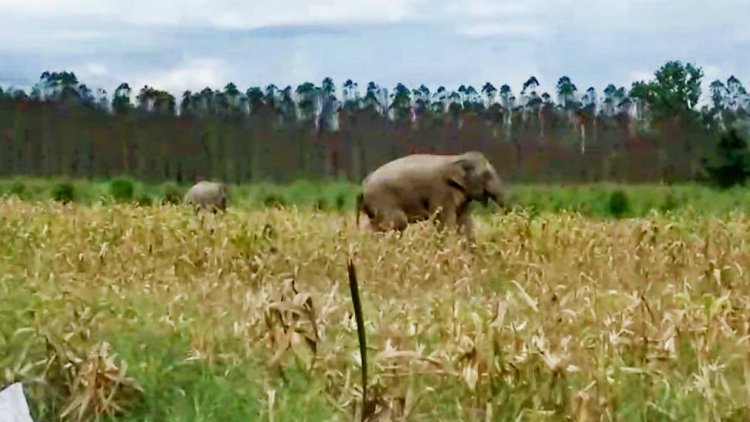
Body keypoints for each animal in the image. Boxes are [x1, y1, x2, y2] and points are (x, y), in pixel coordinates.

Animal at [356, 151, 508, 244]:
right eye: (487, 175)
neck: (455, 158)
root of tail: (362, 188)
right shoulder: (440, 191)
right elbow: (443, 221)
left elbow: (464, 221)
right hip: (382, 200)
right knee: (398, 222)